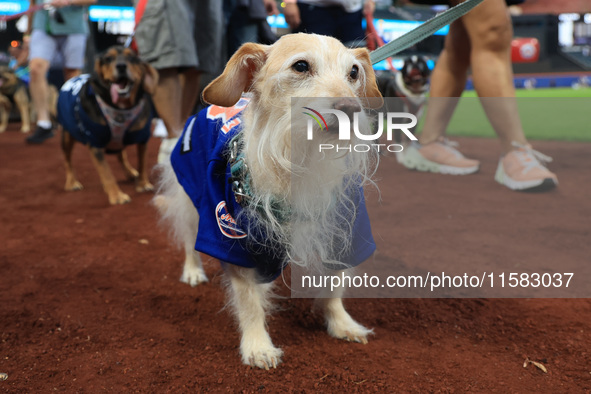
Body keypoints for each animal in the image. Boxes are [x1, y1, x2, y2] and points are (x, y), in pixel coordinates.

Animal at [57, 47, 158, 205]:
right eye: (109, 58)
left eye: (132, 58)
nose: (121, 66)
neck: (121, 108)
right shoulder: (95, 142)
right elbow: (106, 173)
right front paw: (117, 196)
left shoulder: (143, 136)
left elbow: (142, 162)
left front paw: (142, 184)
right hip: (67, 135)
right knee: (67, 160)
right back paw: (71, 182)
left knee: (121, 154)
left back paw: (130, 172)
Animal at [155, 33, 382, 370]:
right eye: (301, 66)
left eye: (353, 72)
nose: (351, 108)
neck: (302, 157)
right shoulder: (231, 238)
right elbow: (249, 301)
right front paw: (258, 346)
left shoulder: (346, 233)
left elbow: (333, 288)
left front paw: (342, 324)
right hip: (191, 201)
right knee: (186, 237)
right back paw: (193, 270)